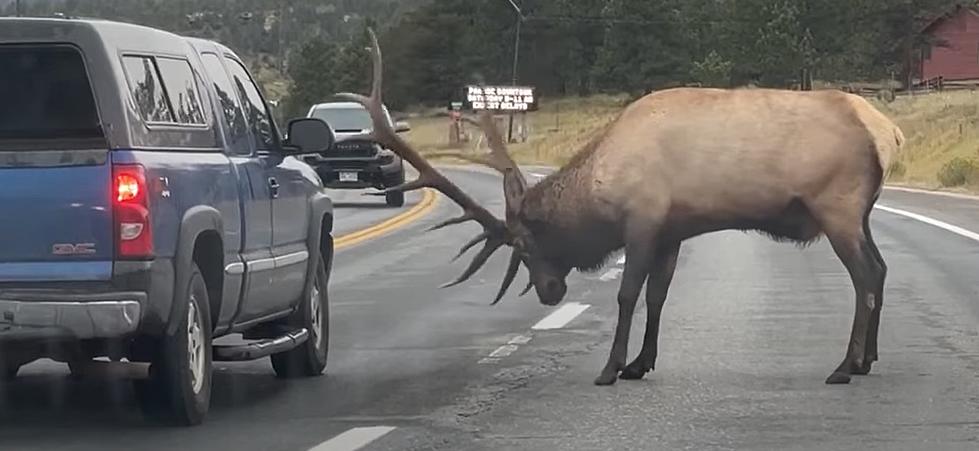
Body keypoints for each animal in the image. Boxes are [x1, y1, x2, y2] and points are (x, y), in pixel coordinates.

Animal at [340, 30, 908, 386]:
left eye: (525, 242)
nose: (550, 293)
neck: (599, 184)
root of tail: (887, 132)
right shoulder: (674, 229)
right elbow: (658, 296)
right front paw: (640, 363)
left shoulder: (642, 220)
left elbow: (628, 295)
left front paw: (610, 368)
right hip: (860, 213)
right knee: (881, 270)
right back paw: (868, 360)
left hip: (836, 207)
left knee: (864, 276)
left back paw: (844, 365)